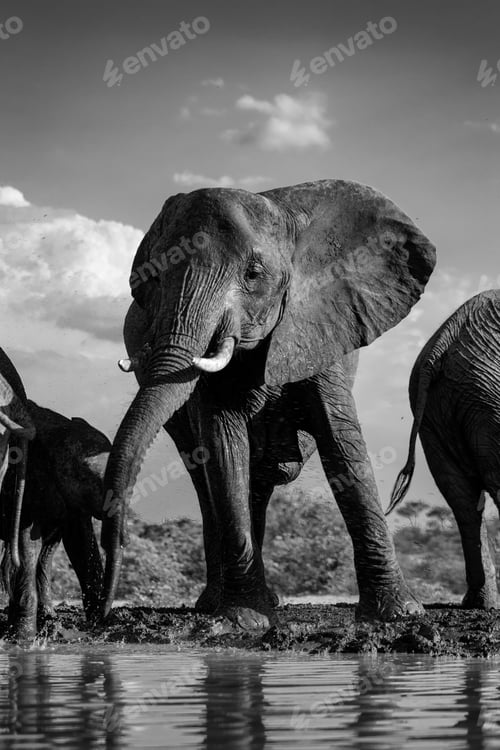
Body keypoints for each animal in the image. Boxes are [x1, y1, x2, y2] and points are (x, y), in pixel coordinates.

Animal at [100, 179, 436, 628]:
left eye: (253, 274)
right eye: (150, 281)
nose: (100, 612)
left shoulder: (320, 326)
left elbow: (342, 443)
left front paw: (399, 614)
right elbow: (224, 447)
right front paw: (242, 620)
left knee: (257, 483)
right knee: (206, 478)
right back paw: (217, 603)